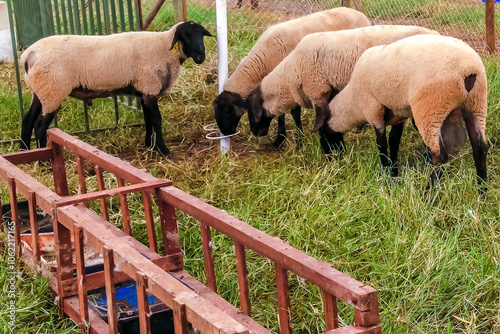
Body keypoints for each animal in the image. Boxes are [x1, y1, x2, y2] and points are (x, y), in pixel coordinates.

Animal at [20, 21, 212, 156]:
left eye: (202, 34)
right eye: (185, 35)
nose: (200, 56)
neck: (164, 48)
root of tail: (28, 55)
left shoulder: (143, 89)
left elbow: (148, 119)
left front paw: (149, 145)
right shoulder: (149, 86)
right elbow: (156, 119)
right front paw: (162, 149)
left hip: (40, 91)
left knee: (27, 120)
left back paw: (25, 154)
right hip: (53, 90)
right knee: (39, 126)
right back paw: (43, 161)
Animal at [213, 6, 370, 146]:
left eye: (226, 111)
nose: (225, 134)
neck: (263, 60)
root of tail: (358, 13)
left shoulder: (289, 81)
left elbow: (293, 113)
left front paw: (297, 140)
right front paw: (280, 139)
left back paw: (361, 128)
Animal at [320, 35, 488, 192]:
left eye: (322, 134)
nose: (330, 158)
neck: (351, 101)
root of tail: (468, 69)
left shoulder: (372, 110)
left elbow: (382, 144)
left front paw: (387, 176)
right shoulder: (399, 114)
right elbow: (394, 141)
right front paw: (394, 172)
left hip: (430, 108)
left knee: (440, 156)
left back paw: (427, 195)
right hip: (476, 104)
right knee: (480, 148)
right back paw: (482, 192)